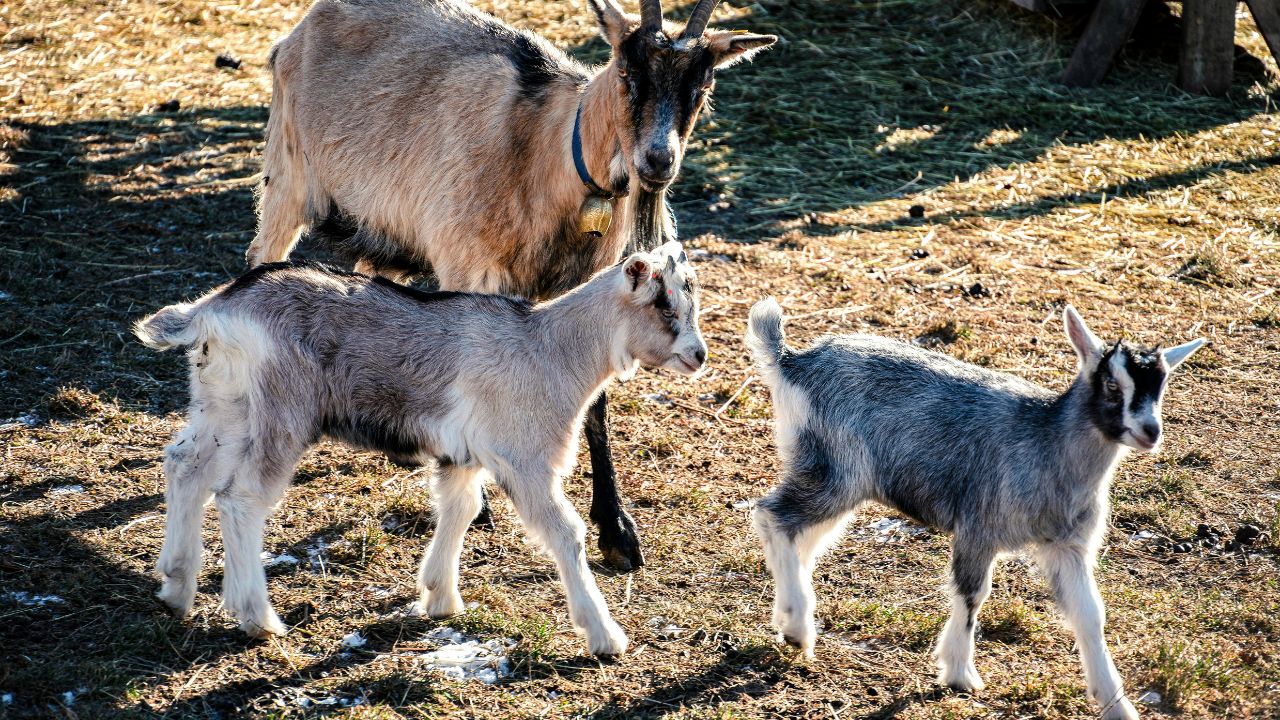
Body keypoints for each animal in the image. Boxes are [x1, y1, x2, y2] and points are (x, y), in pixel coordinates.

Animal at [135, 242, 705, 656]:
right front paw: (605, 636)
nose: (699, 355)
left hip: (224, 405)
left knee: (184, 465)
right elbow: (567, 534)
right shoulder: (524, 458)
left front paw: (440, 598)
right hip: (279, 412)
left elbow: (460, 508)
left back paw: (176, 586)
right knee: (242, 498)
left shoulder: (464, 456)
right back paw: (257, 617)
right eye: (665, 305)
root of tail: (216, 308)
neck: (549, 347)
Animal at [245, 0, 774, 574]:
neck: (544, 149)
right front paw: (476, 506)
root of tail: (301, 30)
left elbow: (595, 401)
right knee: (262, 258)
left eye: (702, 86)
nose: (658, 163)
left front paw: (616, 531)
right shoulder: (467, 267)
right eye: (627, 72)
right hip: (288, 178)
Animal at [746, 298, 1204, 720]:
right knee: (771, 515)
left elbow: (1091, 615)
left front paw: (1116, 705)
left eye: (1162, 386)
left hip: (830, 474)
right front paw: (959, 673)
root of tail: (793, 362)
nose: (1150, 432)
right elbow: (972, 594)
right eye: (1112, 384)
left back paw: (788, 617)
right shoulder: (979, 528)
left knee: (799, 538)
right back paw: (799, 627)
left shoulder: (1067, 546)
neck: (1048, 442)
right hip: (837, 472)